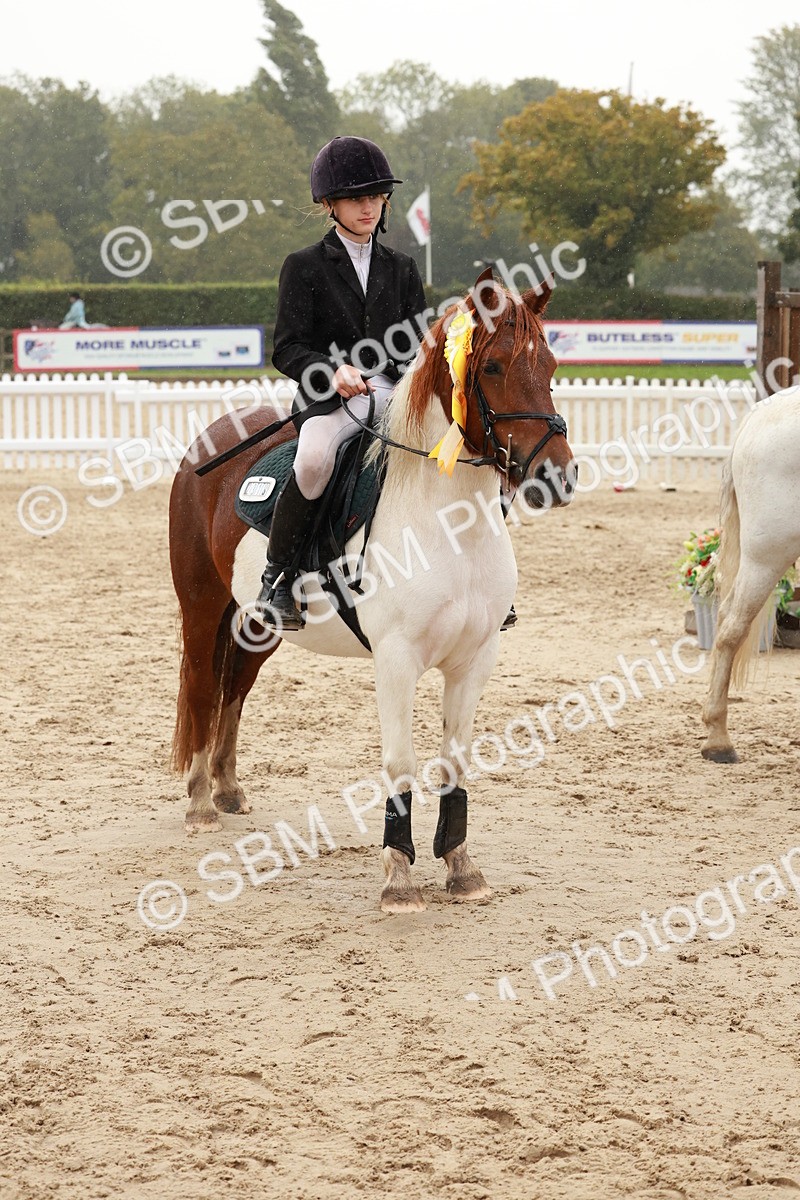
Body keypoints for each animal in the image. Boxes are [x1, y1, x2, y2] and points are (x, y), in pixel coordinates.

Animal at [168, 276, 575, 912]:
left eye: (551, 365)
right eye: (493, 367)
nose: (555, 477)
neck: (448, 521)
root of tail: (207, 444)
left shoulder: (475, 658)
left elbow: (454, 762)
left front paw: (461, 867)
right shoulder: (397, 659)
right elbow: (401, 762)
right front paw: (399, 879)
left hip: (257, 624)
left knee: (233, 689)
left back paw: (228, 789)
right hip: (203, 607)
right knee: (204, 689)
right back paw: (201, 801)